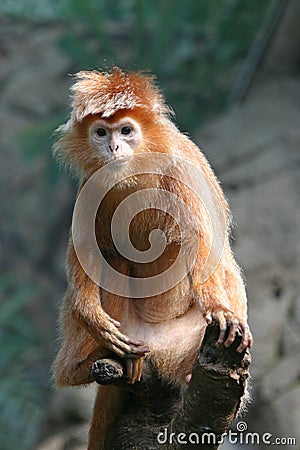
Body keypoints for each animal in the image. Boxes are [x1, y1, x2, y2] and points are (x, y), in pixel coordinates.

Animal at [52, 67, 252, 450]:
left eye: (126, 131)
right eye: (101, 132)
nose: (114, 147)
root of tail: (152, 348)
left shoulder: (181, 169)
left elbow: (202, 244)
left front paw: (220, 309)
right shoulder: (91, 182)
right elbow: (86, 254)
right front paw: (91, 316)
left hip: (183, 342)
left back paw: (190, 376)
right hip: (126, 331)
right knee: (111, 258)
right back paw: (87, 364)